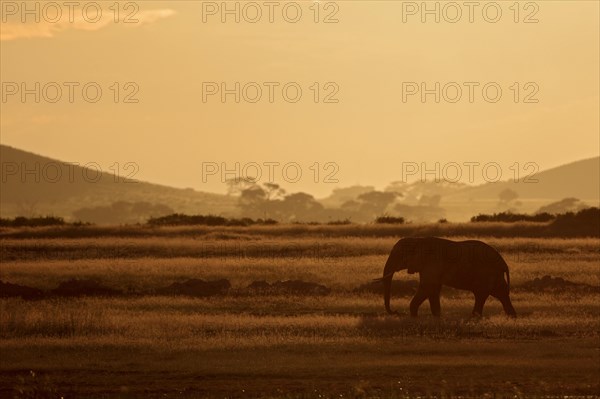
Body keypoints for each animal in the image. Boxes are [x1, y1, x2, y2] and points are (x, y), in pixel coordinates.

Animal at [380, 238, 516, 318]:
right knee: (500, 293)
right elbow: (433, 290)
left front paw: (414, 319)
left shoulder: (432, 263)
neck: (419, 240)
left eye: (398, 255)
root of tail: (503, 263)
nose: (396, 311)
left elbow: (427, 287)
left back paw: (475, 318)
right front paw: (437, 318)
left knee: (483, 294)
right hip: (494, 275)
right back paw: (511, 318)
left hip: (487, 273)